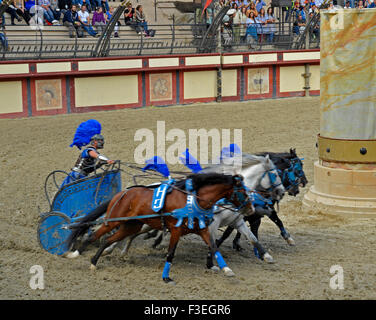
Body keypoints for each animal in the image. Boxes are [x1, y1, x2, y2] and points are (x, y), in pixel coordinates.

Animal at [64, 172, 253, 282]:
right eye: (243, 191)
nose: (250, 209)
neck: (192, 200)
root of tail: (122, 193)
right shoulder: (176, 230)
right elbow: (170, 253)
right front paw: (166, 277)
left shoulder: (203, 230)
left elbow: (214, 247)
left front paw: (226, 269)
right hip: (114, 220)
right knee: (94, 236)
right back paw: (75, 254)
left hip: (131, 226)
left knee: (108, 239)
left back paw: (94, 262)